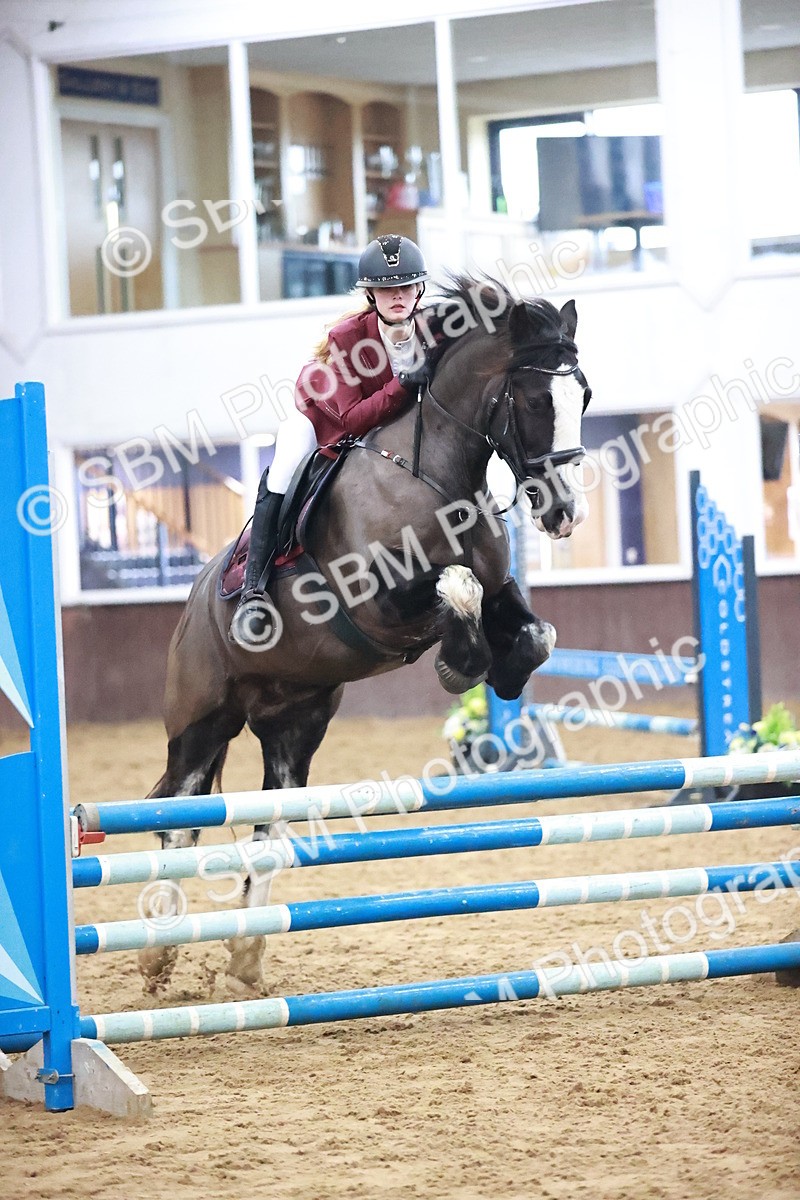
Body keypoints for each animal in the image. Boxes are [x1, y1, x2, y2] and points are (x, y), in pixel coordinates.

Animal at [140, 276, 592, 992]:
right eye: (535, 399)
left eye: (586, 396)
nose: (566, 512)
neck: (437, 480)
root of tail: (190, 606)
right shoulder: (378, 606)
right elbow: (456, 591)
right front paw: (460, 665)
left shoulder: (499, 593)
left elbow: (532, 631)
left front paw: (504, 672)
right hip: (200, 721)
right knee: (176, 818)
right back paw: (157, 953)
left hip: (293, 727)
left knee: (267, 827)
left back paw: (243, 963)